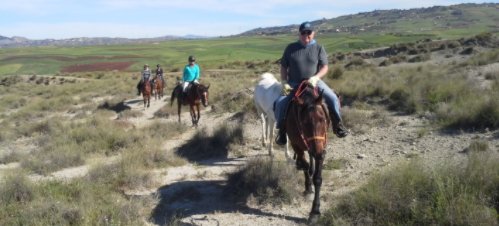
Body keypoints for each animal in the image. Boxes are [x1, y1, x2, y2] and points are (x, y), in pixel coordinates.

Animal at [286, 81, 332, 222]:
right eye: (304, 122)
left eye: (323, 120)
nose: (317, 151)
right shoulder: (296, 145)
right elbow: (304, 165)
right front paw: (308, 187)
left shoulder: (322, 149)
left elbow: (317, 178)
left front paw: (315, 211)